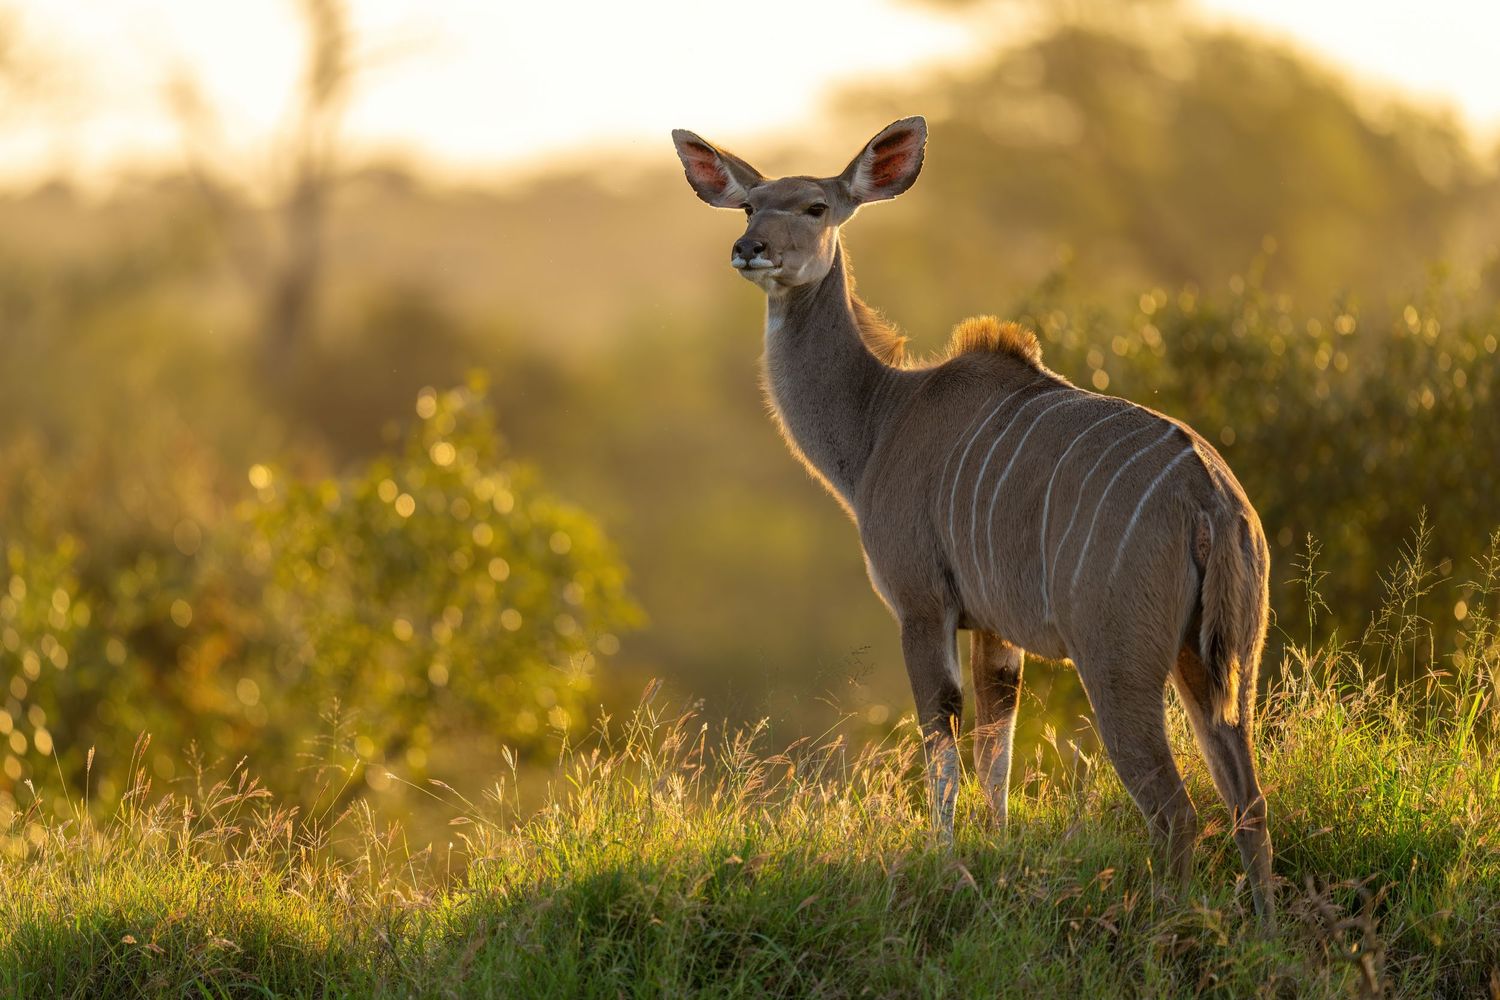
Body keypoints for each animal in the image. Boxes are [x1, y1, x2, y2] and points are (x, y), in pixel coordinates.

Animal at [671, 117, 1274, 921]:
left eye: (816, 207)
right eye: (747, 205)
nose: (750, 249)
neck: (881, 418)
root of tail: (1208, 497)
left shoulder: (922, 607)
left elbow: (943, 739)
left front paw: (950, 865)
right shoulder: (994, 629)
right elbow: (996, 748)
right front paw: (997, 854)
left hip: (1117, 664)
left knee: (1176, 813)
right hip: (1219, 667)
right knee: (1248, 802)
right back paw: (1266, 931)